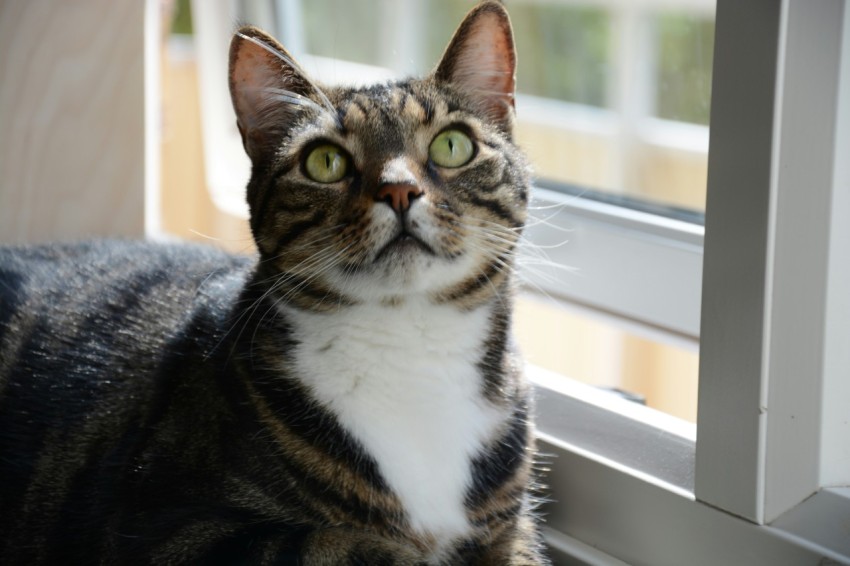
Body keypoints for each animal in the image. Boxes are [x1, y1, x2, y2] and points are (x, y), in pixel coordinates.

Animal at [0, 2, 548, 564]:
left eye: (452, 145)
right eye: (325, 161)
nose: (399, 189)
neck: (409, 348)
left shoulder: (511, 527)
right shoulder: (164, 527)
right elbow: (353, 546)